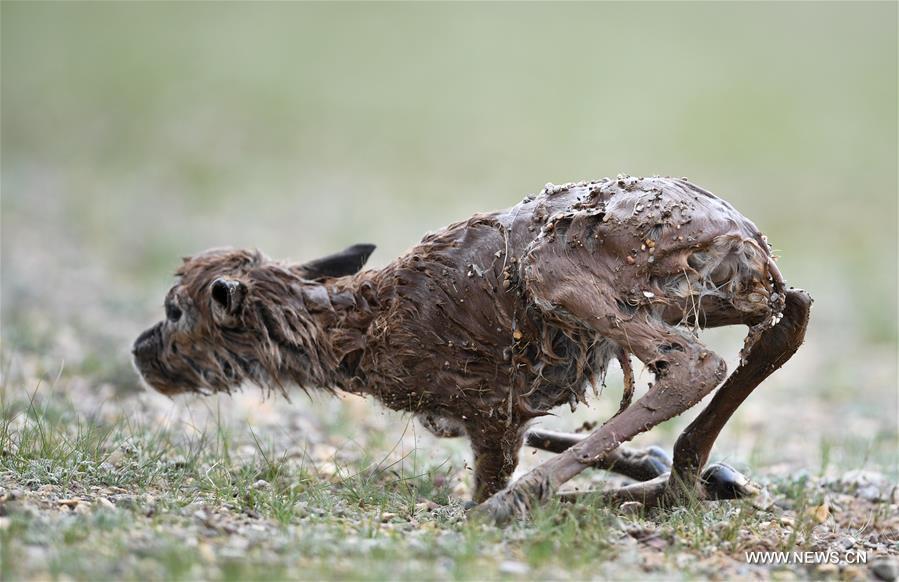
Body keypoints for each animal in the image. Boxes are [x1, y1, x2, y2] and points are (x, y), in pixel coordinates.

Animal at [135, 176, 816, 524]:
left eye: (176, 309)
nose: (141, 352)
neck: (359, 331)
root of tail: (746, 241)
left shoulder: (491, 412)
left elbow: (491, 470)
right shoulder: (480, 412)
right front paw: (691, 472)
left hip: (556, 274)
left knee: (694, 362)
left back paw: (523, 504)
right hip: (718, 296)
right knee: (790, 315)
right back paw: (685, 476)